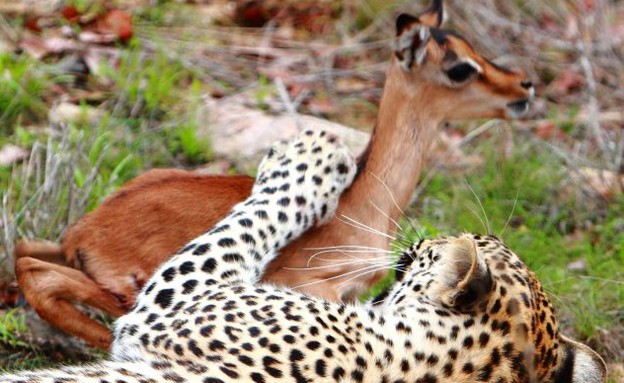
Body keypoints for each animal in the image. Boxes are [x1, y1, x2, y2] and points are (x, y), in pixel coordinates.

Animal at [12, 0, 532, 352]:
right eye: (460, 68)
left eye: (470, 47)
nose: (524, 86)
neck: (365, 204)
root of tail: (83, 232)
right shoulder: (312, 288)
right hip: (129, 292)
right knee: (42, 277)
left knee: (24, 254)